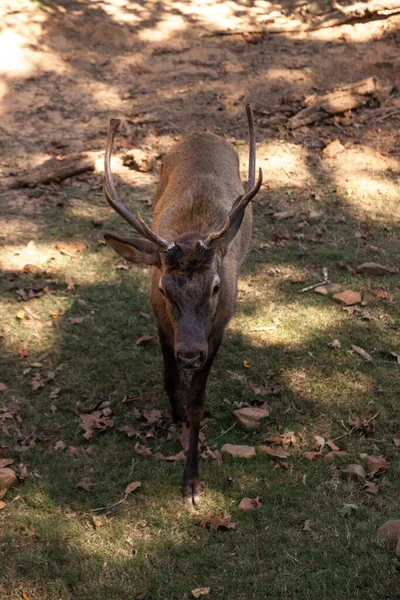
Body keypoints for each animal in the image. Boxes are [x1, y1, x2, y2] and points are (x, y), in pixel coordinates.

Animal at [103, 105, 262, 504]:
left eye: (217, 287)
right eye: (163, 289)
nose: (190, 354)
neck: (191, 233)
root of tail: (201, 132)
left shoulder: (217, 330)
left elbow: (197, 399)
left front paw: (192, 481)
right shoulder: (161, 322)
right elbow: (170, 381)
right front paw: (177, 421)